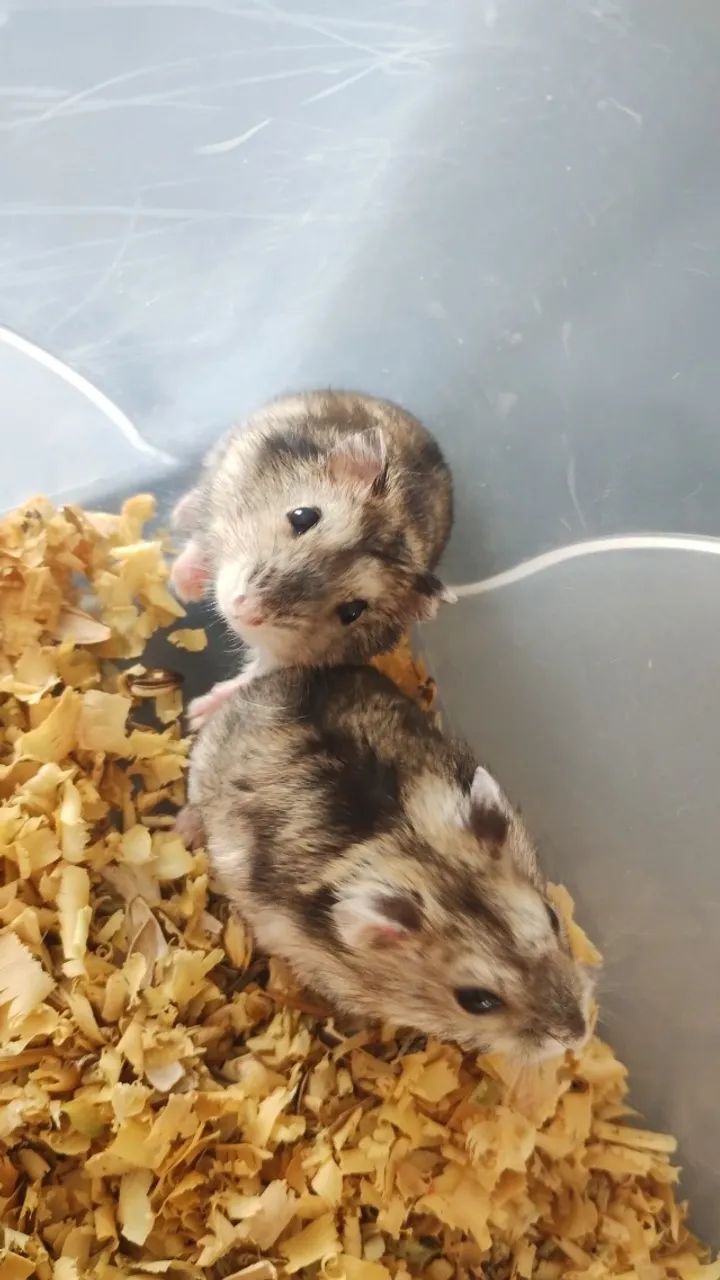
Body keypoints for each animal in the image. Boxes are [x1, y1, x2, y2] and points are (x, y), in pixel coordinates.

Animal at [170, 391, 454, 729]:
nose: (243, 610)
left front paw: (195, 714)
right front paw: (183, 587)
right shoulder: (228, 477)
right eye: (303, 516)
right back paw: (178, 513)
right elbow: (204, 537)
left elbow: (255, 676)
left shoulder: (293, 658)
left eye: (352, 612)